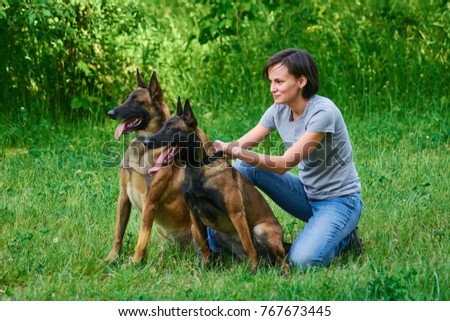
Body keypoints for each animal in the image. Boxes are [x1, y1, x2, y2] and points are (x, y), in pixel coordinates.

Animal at [104, 70, 191, 262]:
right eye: (127, 98)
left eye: (137, 101)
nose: (110, 113)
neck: (142, 147)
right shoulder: (123, 196)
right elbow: (118, 233)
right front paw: (111, 259)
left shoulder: (149, 202)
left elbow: (142, 238)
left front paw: (135, 263)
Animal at [145, 97, 292, 272]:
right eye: (163, 126)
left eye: (171, 128)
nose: (145, 142)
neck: (199, 167)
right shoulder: (194, 215)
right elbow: (204, 246)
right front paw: (204, 266)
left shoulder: (236, 213)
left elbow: (248, 245)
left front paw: (253, 270)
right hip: (217, 233)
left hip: (260, 230)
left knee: (283, 261)